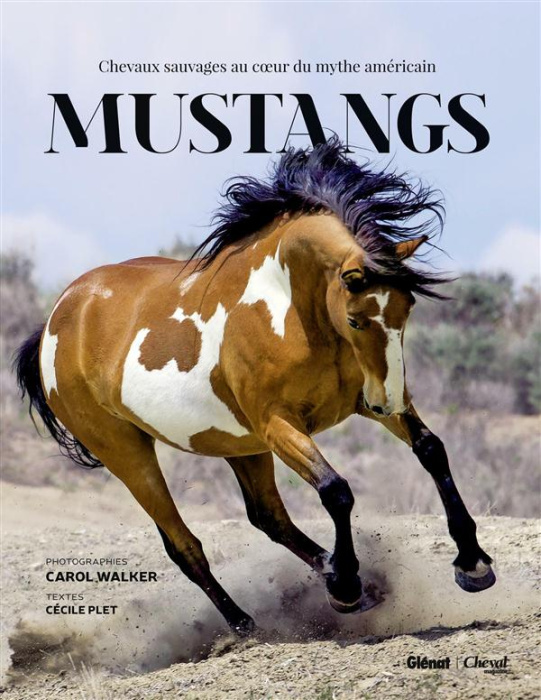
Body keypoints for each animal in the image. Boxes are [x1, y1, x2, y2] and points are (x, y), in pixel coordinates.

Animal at [15, 140, 495, 635]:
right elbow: (335, 490)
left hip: (236, 443)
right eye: (356, 320)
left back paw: (334, 577)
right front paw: (346, 586)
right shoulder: (278, 424)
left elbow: (431, 450)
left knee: (268, 517)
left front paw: (472, 564)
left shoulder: (359, 403)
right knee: (184, 545)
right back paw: (250, 624)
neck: (291, 310)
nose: (389, 401)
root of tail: (57, 319)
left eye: (409, 308)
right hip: (126, 451)